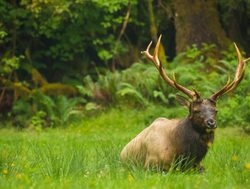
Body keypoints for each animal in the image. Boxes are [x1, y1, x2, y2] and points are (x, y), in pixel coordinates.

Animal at [120, 35, 249, 171]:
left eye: (215, 110)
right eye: (196, 110)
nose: (211, 123)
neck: (182, 154)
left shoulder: (198, 165)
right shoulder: (151, 164)